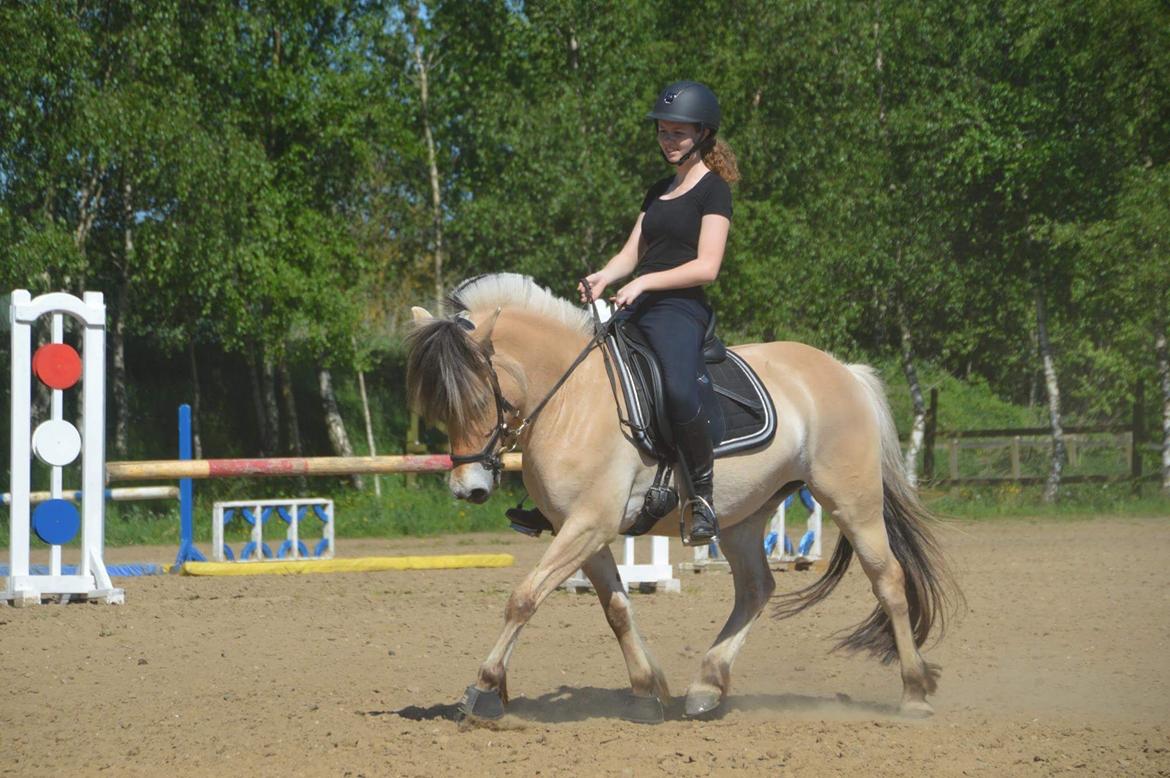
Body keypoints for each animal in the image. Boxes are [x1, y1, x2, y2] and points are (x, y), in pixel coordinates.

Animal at [407, 272, 954, 720]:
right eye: (440, 406)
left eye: (481, 398)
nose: (468, 488)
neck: (571, 400)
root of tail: (845, 371)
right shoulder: (582, 529)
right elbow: (616, 609)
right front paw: (648, 690)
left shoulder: (589, 524)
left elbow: (523, 599)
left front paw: (484, 688)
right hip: (742, 517)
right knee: (756, 589)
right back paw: (707, 687)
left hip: (851, 502)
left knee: (888, 580)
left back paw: (913, 693)